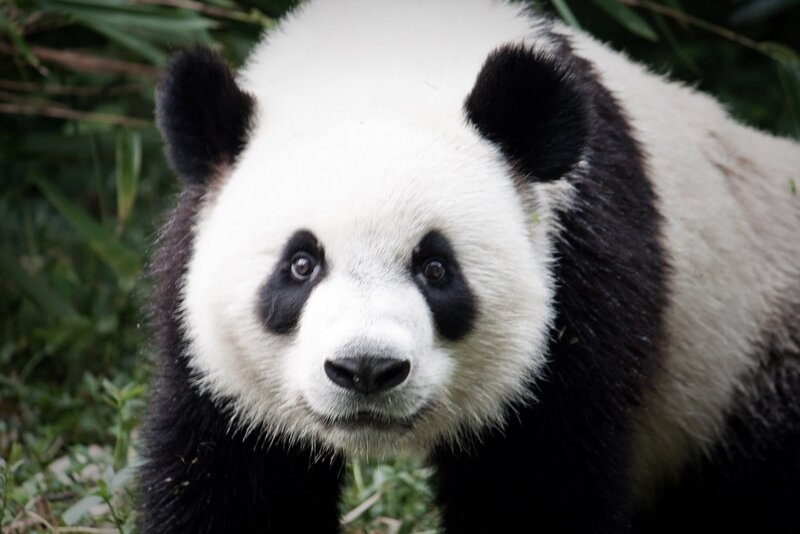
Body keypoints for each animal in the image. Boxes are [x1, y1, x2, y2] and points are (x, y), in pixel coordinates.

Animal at [138, 0, 800, 532]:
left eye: (436, 269)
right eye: (301, 264)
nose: (366, 370)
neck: (384, 65)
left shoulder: (582, 281)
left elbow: (538, 481)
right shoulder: (208, 354)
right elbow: (230, 479)